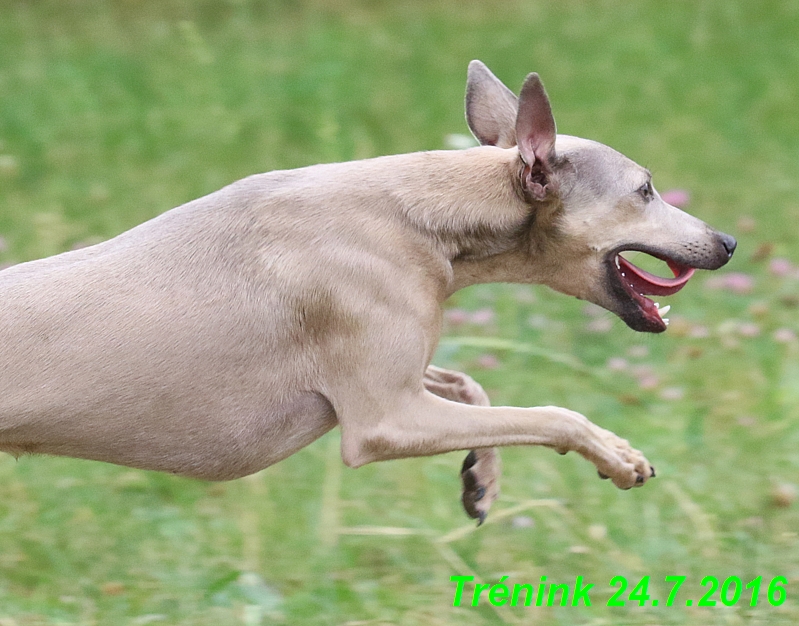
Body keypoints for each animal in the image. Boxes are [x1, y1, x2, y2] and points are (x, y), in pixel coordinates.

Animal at [0, 62, 736, 520]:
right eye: (644, 190)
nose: (727, 241)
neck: (422, 218)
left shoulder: (397, 379)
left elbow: (472, 383)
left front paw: (481, 480)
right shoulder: (386, 420)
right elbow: (554, 414)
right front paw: (617, 456)